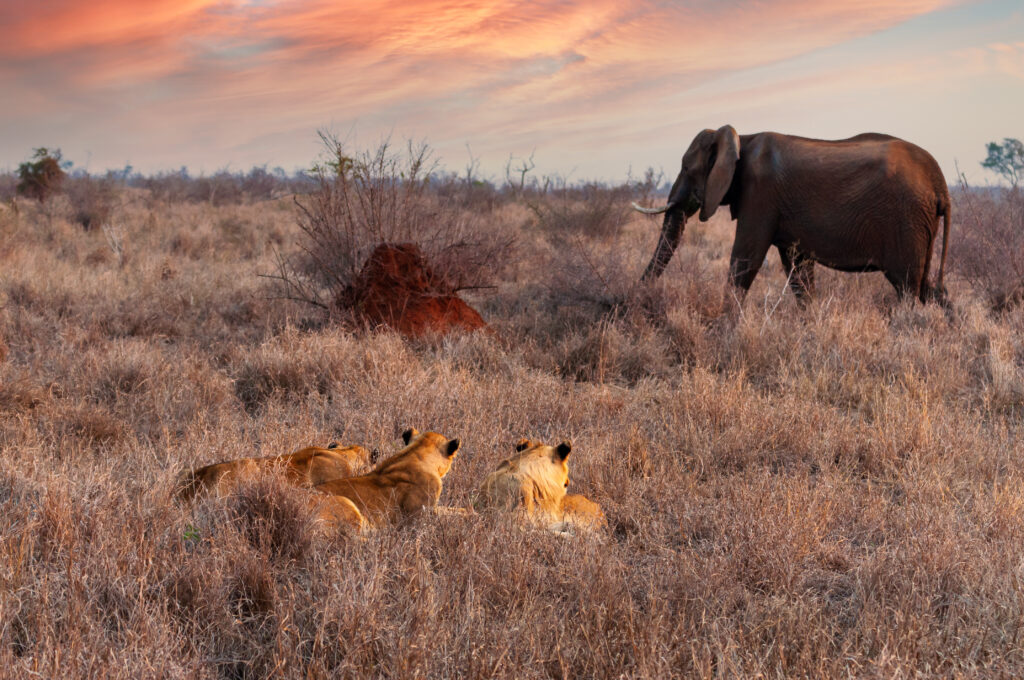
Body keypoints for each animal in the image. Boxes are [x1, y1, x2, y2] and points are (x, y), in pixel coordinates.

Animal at [630, 125, 950, 307]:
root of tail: (940, 183)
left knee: (907, 287)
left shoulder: (760, 195)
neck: (741, 139)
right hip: (922, 224)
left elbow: (745, 260)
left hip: (907, 220)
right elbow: (798, 271)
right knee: (929, 289)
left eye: (686, 168)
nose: (635, 299)